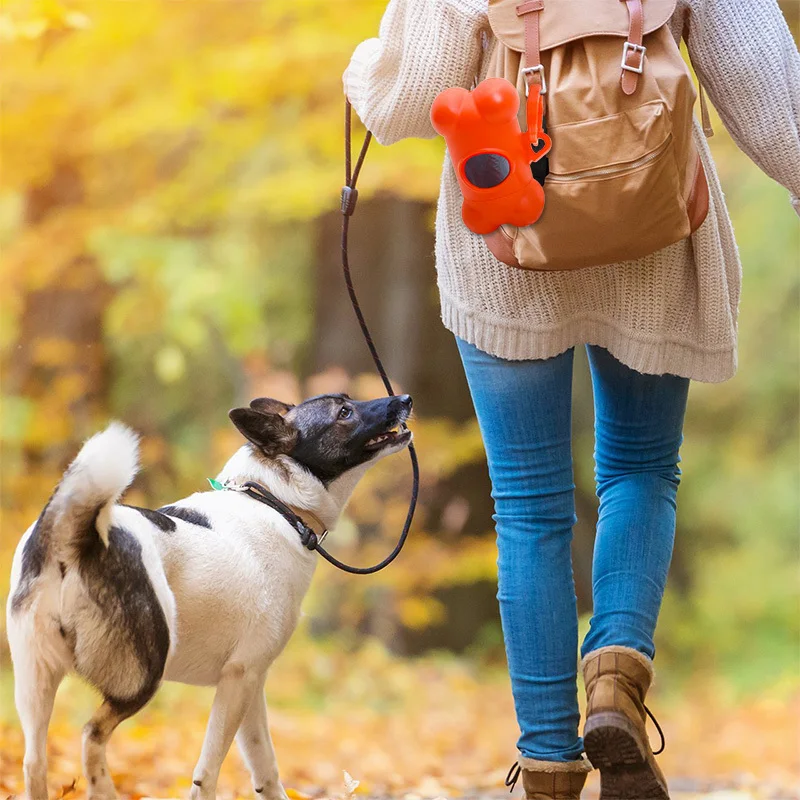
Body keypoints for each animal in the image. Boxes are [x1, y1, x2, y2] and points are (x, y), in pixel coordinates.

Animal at [7, 392, 412, 800]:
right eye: (344, 412)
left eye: (349, 401)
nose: (404, 399)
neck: (274, 502)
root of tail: (75, 536)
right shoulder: (238, 679)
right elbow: (208, 772)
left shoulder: (252, 685)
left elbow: (266, 768)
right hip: (141, 676)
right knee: (92, 734)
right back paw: (103, 788)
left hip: (35, 683)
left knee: (34, 762)